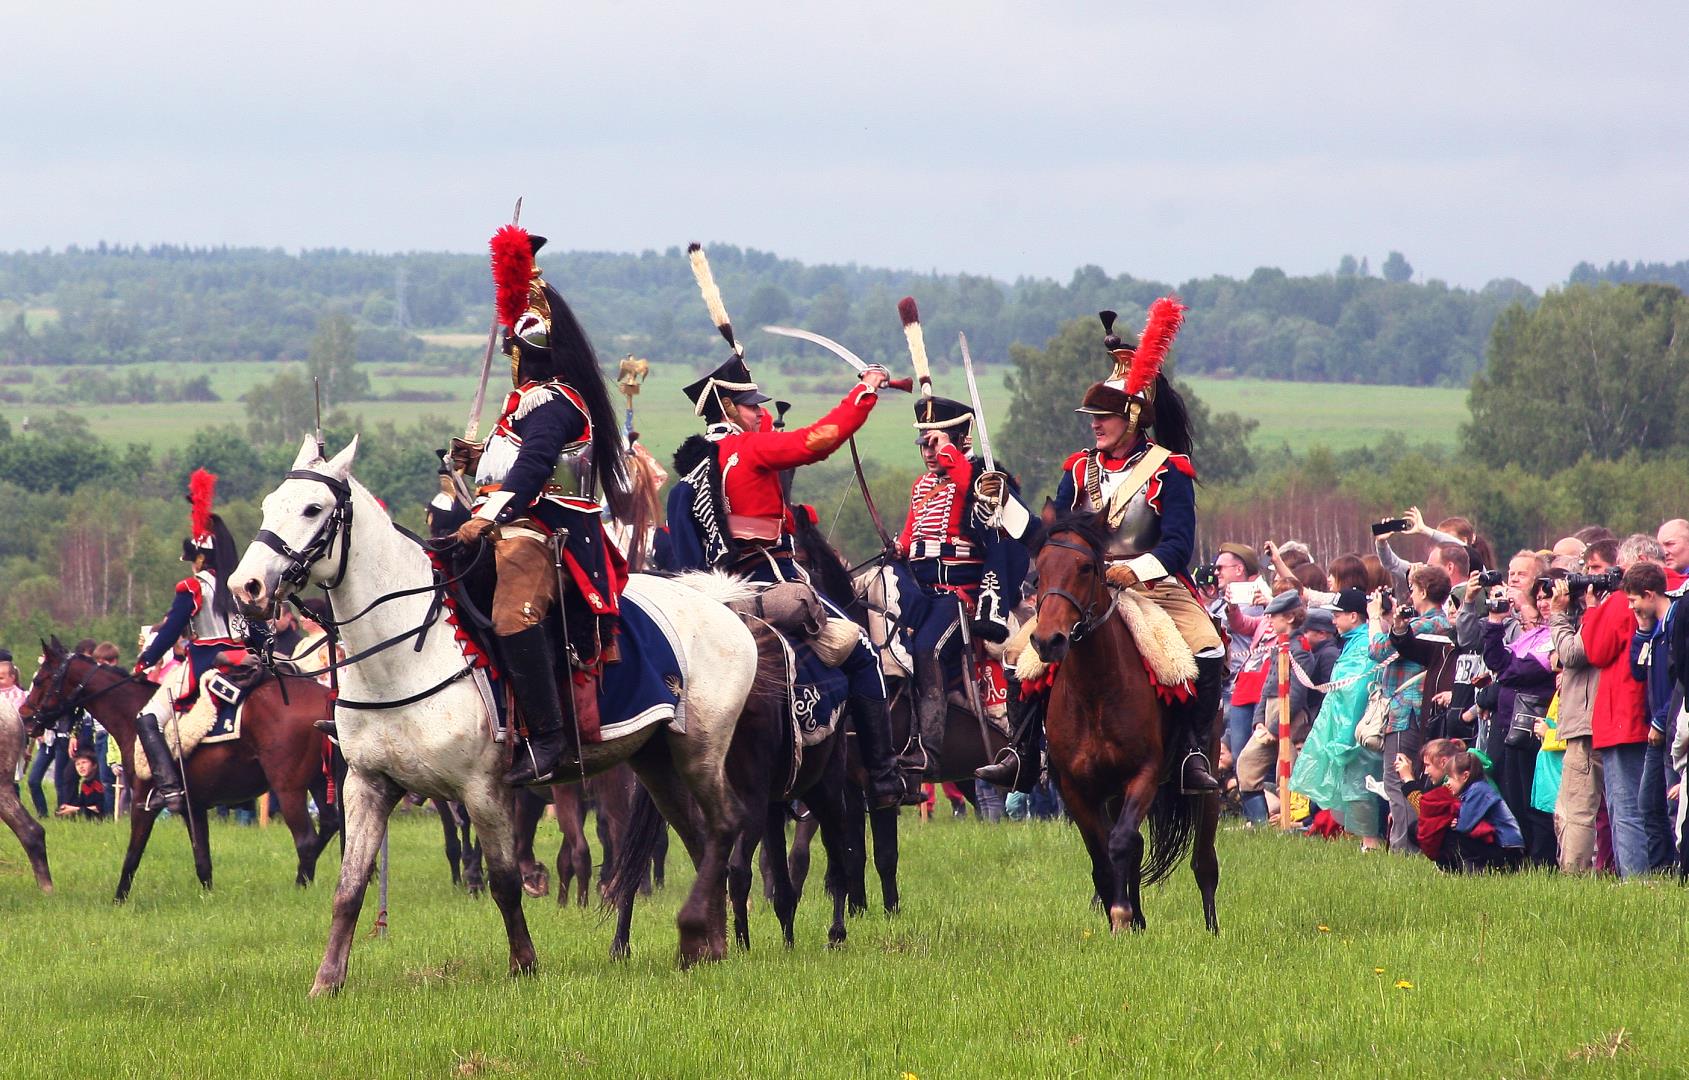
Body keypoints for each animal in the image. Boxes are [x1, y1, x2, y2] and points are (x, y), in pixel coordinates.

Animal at [23, 638, 342, 899]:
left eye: (40, 680)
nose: (26, 718)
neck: (129, 713)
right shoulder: (195, 806)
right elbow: (202, 858)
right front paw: (208, 898)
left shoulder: (142, 801)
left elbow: (132, 854)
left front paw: (118, 899)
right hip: (317, 782)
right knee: (329, 825)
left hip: (288, 788)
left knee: (306, 840)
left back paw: (299, 888)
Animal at [234, 439, 763, 1000]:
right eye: (270, 505)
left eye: (313, 509)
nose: (246, 587)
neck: (404, 653)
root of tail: (719, 605)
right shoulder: (367, 785)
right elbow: (349, 888)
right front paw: (326, 982)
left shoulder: (482, 789)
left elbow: (506, 880)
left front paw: (524, 964)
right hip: (656, 759)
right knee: (701, 836)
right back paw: (710, 945)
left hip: (700, 749)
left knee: (725, 824)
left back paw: (692, 931)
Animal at [1020, 520, 1222, 932]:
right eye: (1039, 570)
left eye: (1085, 568)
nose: (1048, 641)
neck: (1095, 691)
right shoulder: (1076, 788)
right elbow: (1102, 854)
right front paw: (1122, 916)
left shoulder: (1143, 775)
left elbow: (1119, 843)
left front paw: (1120, 914)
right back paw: (1140, 919)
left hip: (1204, 782)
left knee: (1203, 860)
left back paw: (1211, 930)